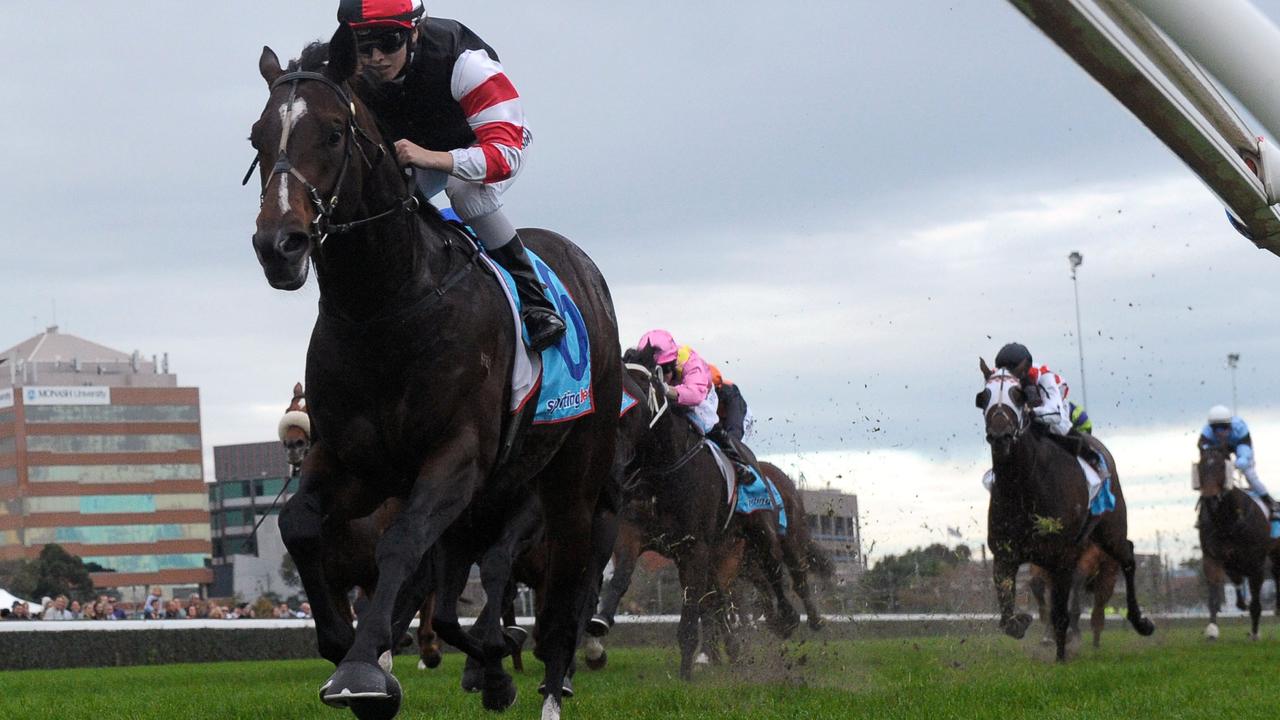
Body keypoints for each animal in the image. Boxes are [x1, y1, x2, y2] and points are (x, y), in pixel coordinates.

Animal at [249, 28, 619, 717]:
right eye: (258, 137)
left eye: (333, 133)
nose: (278, 246)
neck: (385, 306)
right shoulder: (355, 462)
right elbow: (299, 525)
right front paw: (347, 649)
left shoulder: (456, 453)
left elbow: (401, 545)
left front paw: (363, 671)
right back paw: (495, 663)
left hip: (575, 475)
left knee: (567, 582)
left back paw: (551, 684)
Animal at [972, 358, 1157, 661]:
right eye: (983, 397)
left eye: (1017, 395)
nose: (1000, 436)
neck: (1023, 485)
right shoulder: (1005, 553)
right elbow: (1008, 618)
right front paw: (1023, 622)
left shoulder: (1063, 555)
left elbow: (1062, 612)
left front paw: (1061, 658)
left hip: (1110, 532)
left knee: (1128, 557)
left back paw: (1140, 622)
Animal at [1192, 443, 1274, 638]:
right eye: (1201, 466)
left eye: (1222, 467)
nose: (1210, 498)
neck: (1227, 521)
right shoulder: (1213, 556)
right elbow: (1214, 591)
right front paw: (1212, 629)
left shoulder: (1256, 563)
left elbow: (1256, 600)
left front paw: (1255, 632)